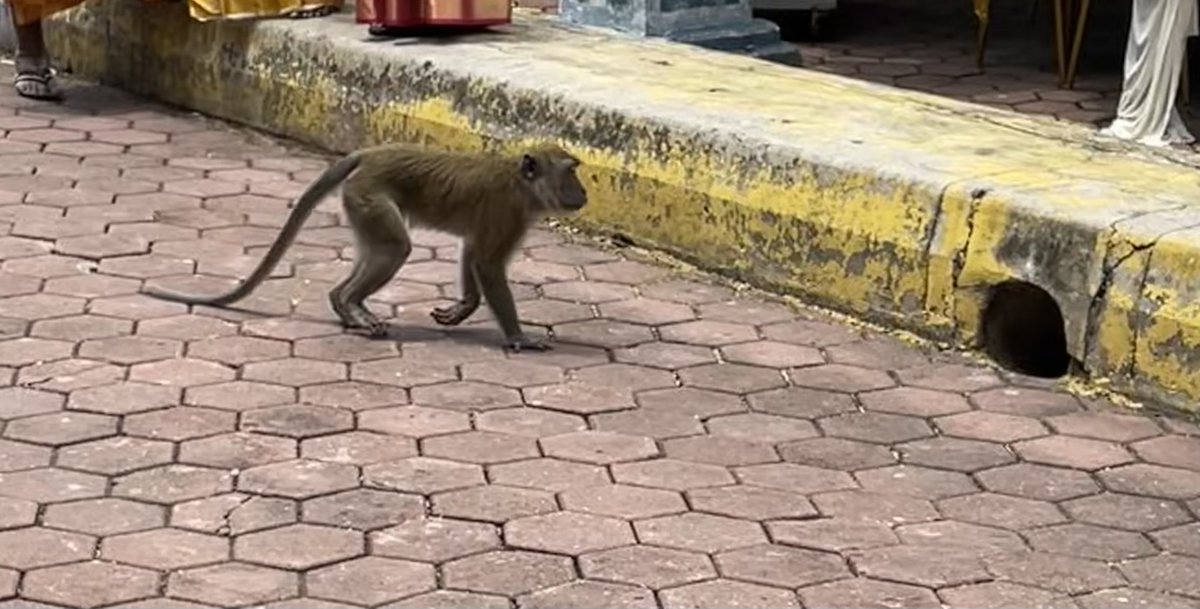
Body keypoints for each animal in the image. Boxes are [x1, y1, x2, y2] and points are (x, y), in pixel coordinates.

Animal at [141, 143, 589, 352]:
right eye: (570, 172)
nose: (584, 192)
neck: (521, 183)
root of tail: (370, 153)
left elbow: (473, 251)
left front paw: (463, 307)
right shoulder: (509, 213)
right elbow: (489, 264)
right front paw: (518, 337)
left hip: (359, 203)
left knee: (379, 249)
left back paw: (341, 302)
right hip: (370, 196)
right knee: (395, 248)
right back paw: (352, 305)